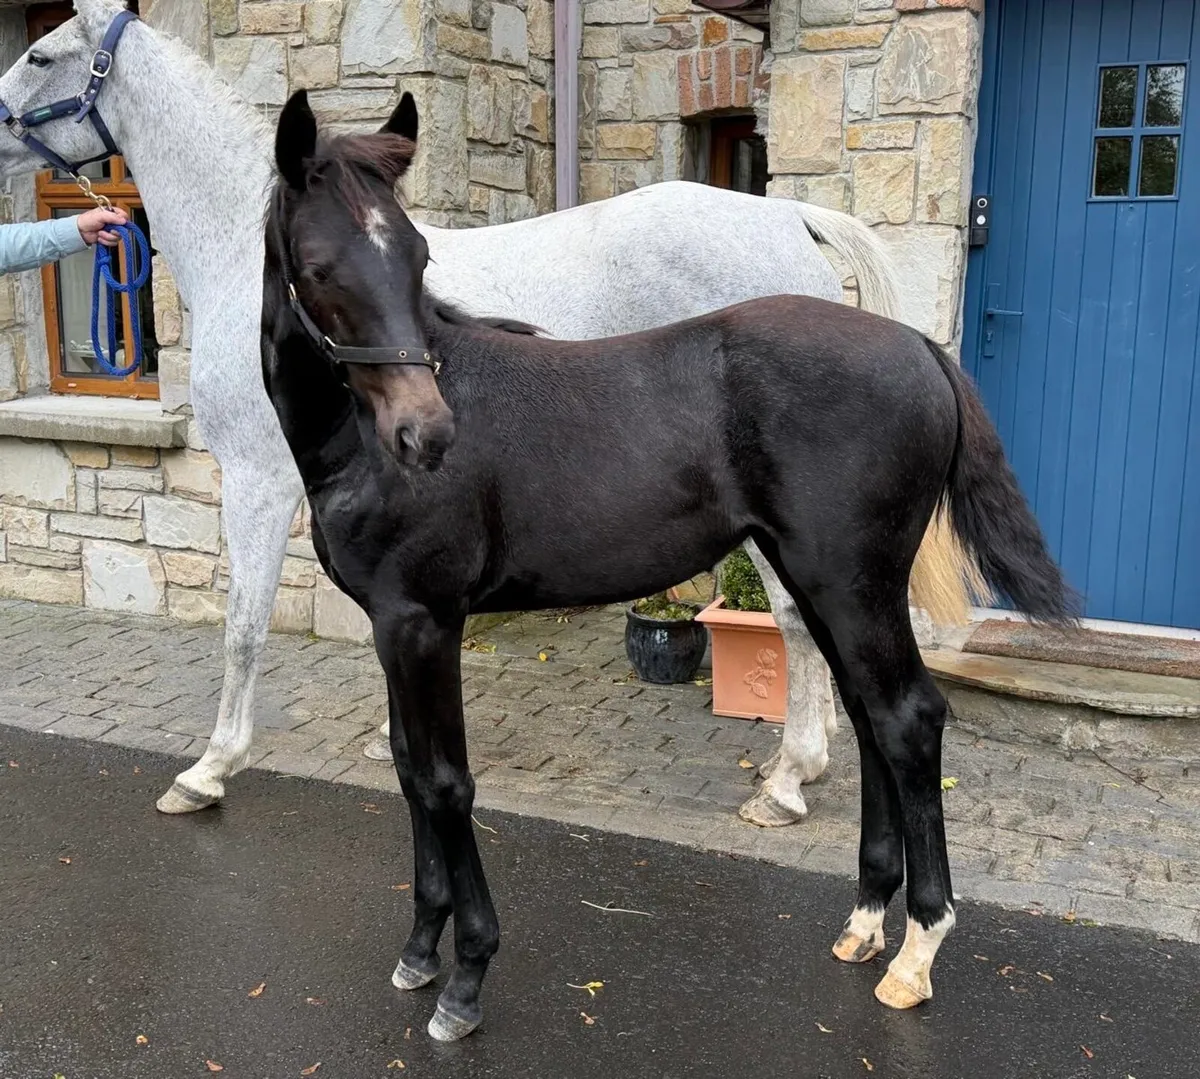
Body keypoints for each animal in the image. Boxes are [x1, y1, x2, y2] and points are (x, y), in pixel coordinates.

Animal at [0, 0, 974, 830]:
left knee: (793, 623)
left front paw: (208, 769)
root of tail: (788, 217)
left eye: (40, 54)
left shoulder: (257, 481)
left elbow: (242, 629)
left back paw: (786, 781)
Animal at [261, 90, 1072, 1041]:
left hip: (851, 583)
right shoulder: (394, 627)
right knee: (871, 717)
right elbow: (406, 770)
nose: (427, 434)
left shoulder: (425, 623)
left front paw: (465, 977)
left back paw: (915, 952)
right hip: (822, 583)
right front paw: (420, 950)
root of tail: (919, 348)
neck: (358, 444)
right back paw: (866, 921)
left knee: (909, 718)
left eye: (419, 254)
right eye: (320, 267)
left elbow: (446, 782)